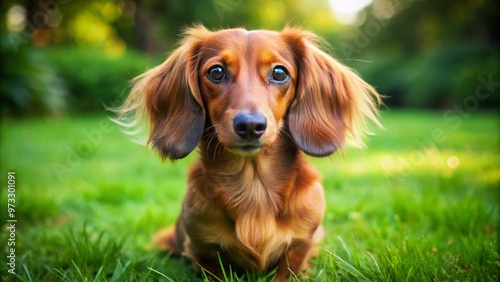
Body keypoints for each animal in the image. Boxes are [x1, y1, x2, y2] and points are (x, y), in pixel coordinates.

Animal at [117, 25, 380, 280]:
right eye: (216, 72)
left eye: (279, 73)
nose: (250, 126)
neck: (254, 186)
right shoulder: (201, 250)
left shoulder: (300, 244)